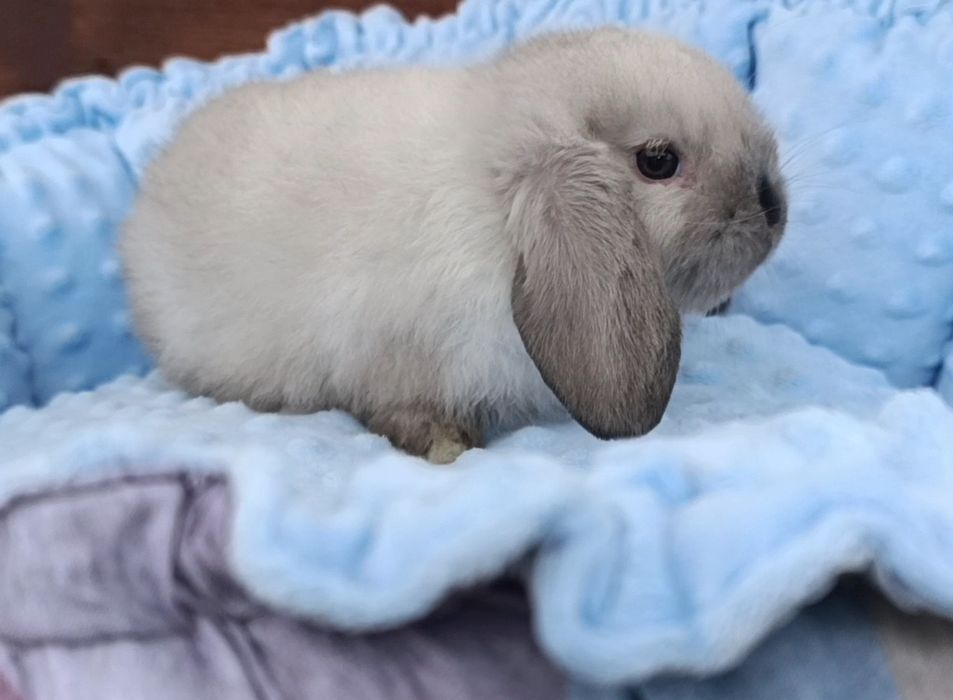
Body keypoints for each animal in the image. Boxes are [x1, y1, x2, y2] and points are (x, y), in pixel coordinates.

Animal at [120, 27, 787, 464]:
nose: (774, 206)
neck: (494, 207)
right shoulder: (396, 362)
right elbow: (406, 413)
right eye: (657, 161)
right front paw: (450, 450)